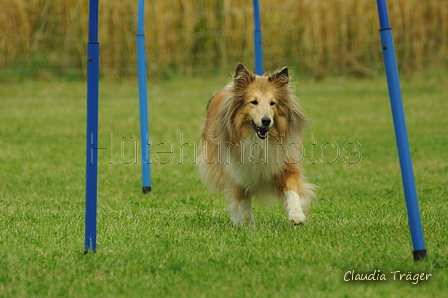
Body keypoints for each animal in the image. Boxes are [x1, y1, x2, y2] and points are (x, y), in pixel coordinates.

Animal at [198, 63, 316, 226]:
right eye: (253, 102)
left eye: (273, 103)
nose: (266, 121)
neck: (258, 141)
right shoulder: (236, 173)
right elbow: (243, 203)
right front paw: (248, 225)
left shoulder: (286, 164)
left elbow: (292, 190)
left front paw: (296, 215)